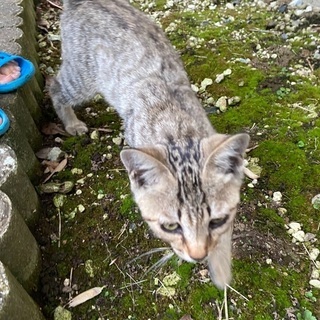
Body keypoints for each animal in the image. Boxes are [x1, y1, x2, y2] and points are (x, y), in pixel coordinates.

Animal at [50, 0, 250, 290]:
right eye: (171, 227)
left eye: (216, 221)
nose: (198, 256)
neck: (179, 132)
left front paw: (221, 267)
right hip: (81, 79)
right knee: (54, 85)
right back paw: (71, 122)